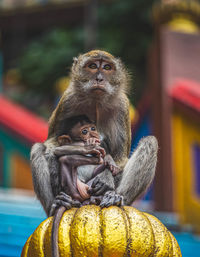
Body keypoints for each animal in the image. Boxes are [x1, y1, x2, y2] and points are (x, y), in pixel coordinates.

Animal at [30, 49, 158, 216]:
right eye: (92, 66)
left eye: (107, 67)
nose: (99, 78)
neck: (96, 100)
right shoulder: (67, 101)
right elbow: (52, 140)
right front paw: (53, 160)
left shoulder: (122, 107)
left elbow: (119, 157)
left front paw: (106, 175)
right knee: (38, 148)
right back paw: (57, 203)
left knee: (150, 142)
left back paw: (115, 197)